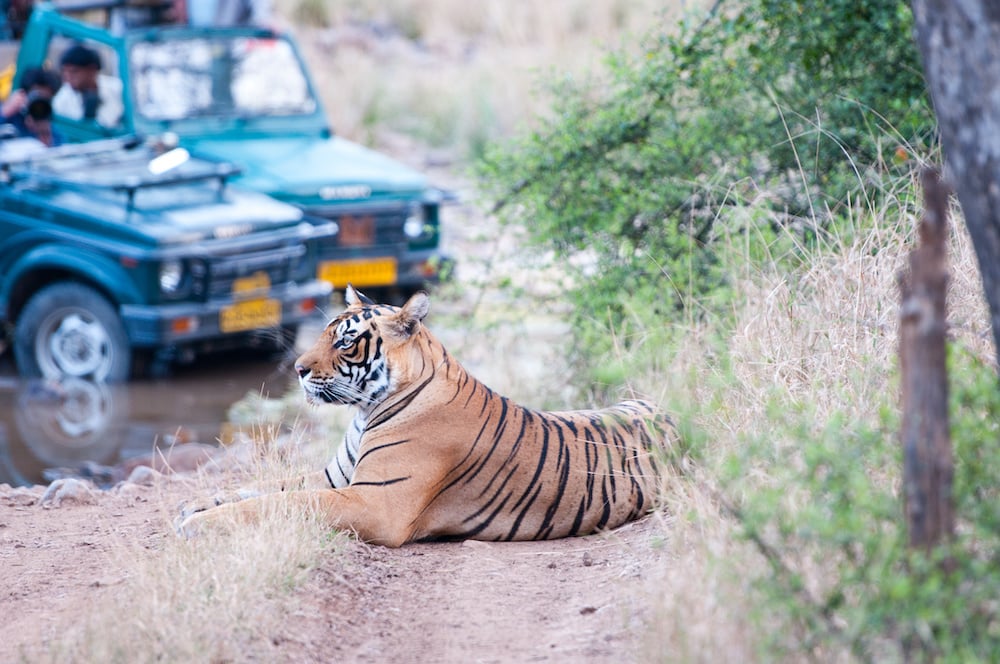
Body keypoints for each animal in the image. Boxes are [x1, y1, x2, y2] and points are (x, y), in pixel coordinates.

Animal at [183, 286, 676, 544]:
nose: (299, 370)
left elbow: (282, 502)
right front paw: (197, 502)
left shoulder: (373, 502)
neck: (365, 411)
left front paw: (196, 524)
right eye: (325, 333)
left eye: (345, 341)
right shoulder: (335, 478)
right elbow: (263, 488)